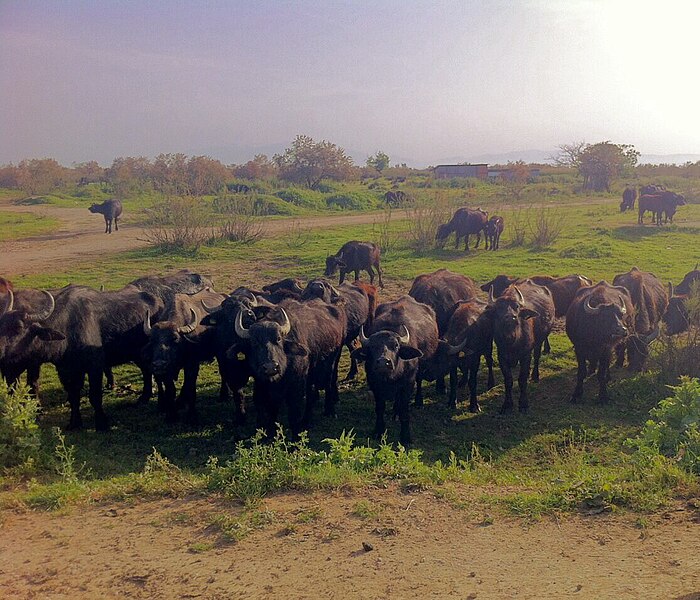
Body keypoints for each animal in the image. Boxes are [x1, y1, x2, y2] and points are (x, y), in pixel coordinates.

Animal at [234, 298, 346, 436]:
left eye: (278, 339)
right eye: (254, 342)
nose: (271, 367)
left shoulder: (296, 385)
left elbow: (294, 413)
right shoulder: (263, 385)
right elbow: (271, 410)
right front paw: (271, 432)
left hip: (332, 361)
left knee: (328, 383)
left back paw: (329, 411)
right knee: (311, 394)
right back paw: (307, 420)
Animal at [352, 296, 440, 446]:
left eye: (396, 346)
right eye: (373, 347)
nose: (383, 362)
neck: (390, 378)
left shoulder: (407, 384)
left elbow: (405, 411)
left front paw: (405, 437)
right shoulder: (374, 384)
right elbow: (379, 408)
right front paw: (379, 431)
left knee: (419, 381)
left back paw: (417, 402)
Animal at [484, 280, 556, 412]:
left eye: (516, 307)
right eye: (499, 308)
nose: (511, 317)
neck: (512, 339)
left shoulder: (525, 355)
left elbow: (522, 379)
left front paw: (523, 403)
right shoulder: (502, 357)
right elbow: (508, 380)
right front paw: (507, 404)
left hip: (540, 340)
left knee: (536, 356)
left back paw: (534, 375)